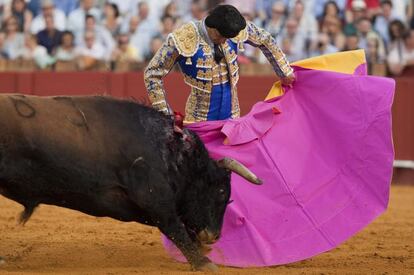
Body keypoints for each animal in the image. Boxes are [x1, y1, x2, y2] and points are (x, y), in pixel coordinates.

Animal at [0, 95, 260, 272]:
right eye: (221, 191)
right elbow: (175, 227)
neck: (171, 152)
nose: (214, 236)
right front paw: (204, 263)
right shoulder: (154, 198)